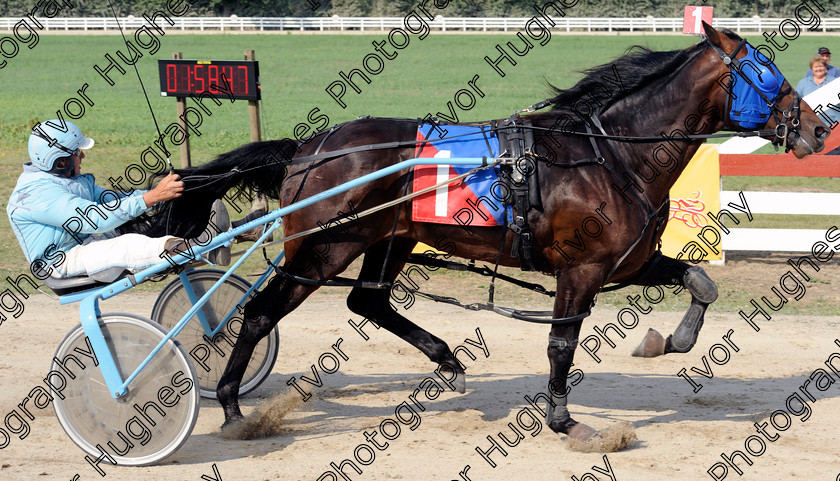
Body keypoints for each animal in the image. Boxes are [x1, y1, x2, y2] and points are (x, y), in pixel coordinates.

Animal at [123, 25, 828, 442]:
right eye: (766, 70)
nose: (820, 128)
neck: (607, 155)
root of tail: (310, 147)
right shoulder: (580, 269)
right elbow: (561, 345)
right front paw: (563, 418)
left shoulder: (627, 262)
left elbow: (701, 281)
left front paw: (668, 340)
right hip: (322, 246)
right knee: (262, 311)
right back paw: (231, 405)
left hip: (388, 238)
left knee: (367, 300)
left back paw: (447, 360)